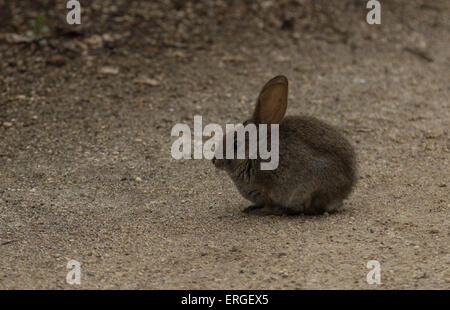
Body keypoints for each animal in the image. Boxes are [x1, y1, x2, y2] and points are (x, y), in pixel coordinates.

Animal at [213, 75, 356, 216]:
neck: (252, 153)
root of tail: (345, 190)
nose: (214, 161)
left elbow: (268, 203)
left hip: (311, 186)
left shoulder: (267, 189)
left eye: (236, 144)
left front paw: (261, 211)